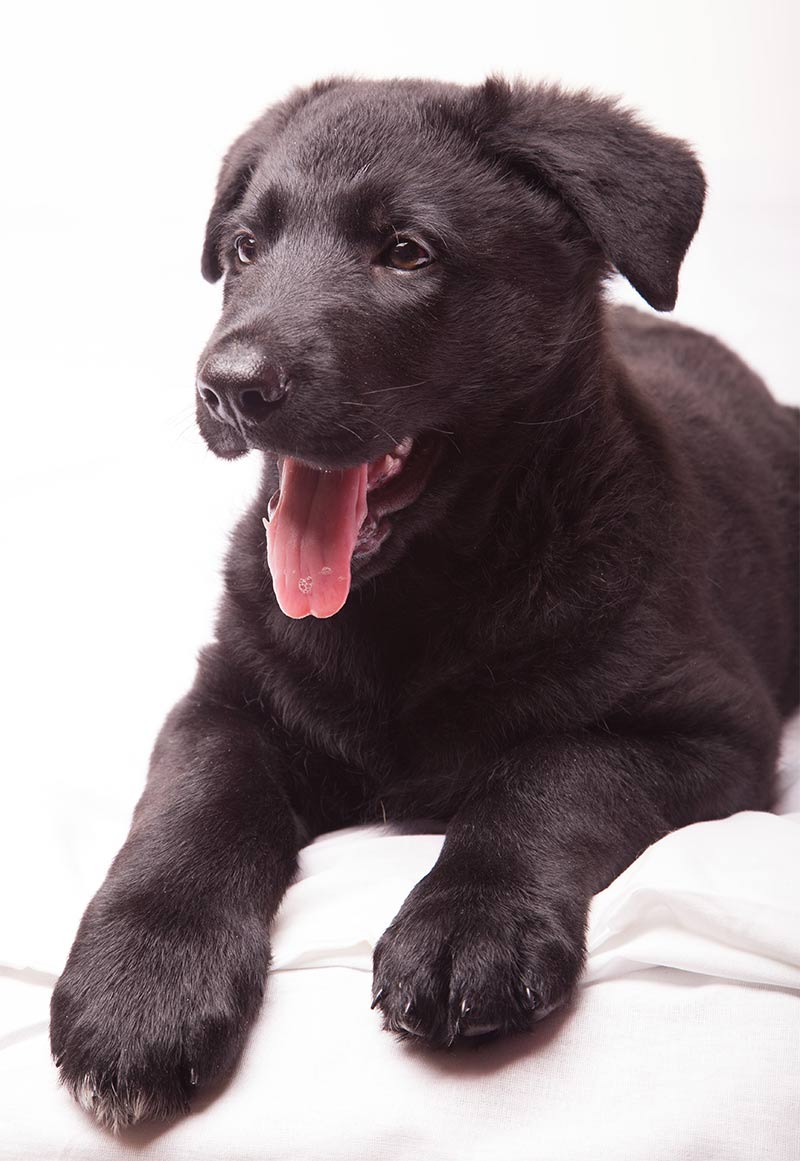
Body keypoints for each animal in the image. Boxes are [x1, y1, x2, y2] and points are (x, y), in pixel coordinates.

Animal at [51, 79, 798, 1123]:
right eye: (245, 250)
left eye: (407, 251)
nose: (229, 387)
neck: (413, 601)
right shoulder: (227, 696)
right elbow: (191, 806)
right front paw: (139, 985)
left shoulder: (710, 729)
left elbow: (547, 777)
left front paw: (469, 925)